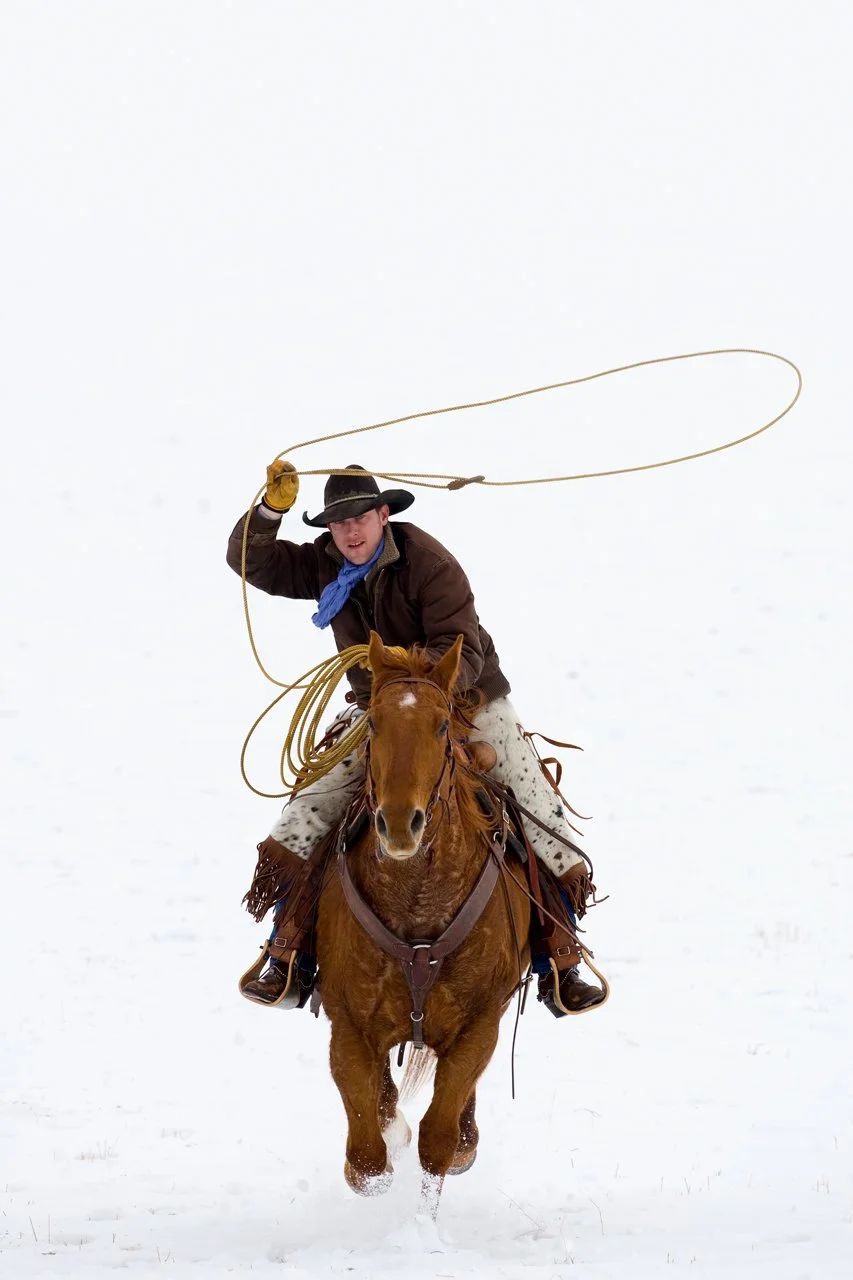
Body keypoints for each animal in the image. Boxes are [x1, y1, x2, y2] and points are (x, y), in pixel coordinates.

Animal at [315, 631, 531, 1211]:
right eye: (373, 724)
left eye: (440, 726)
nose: (398, 823)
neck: (418, 908)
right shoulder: (348, 1024)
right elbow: (367, 1158)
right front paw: (390, 1136)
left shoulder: (481, 1025)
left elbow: (439, 1138)